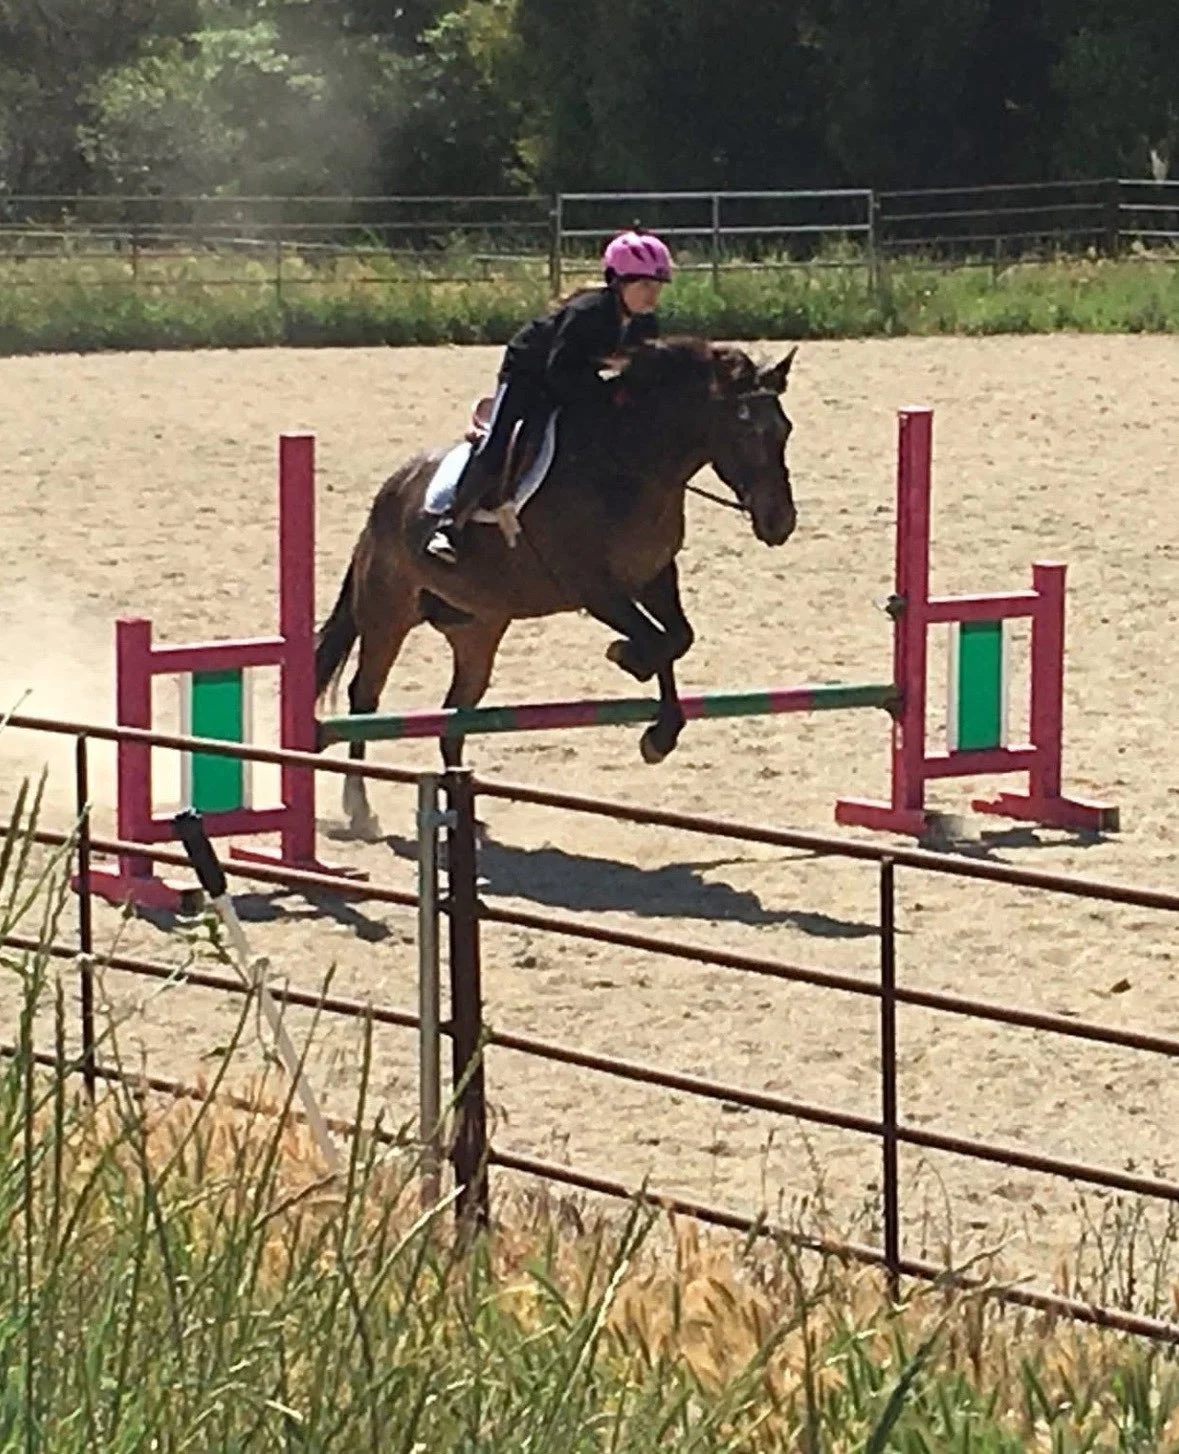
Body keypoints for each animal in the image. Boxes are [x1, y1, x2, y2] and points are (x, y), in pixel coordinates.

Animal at [314, 336, 799, 839]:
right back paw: (360, 809)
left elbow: (677, 639)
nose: (780, 522)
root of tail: (388, 494)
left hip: (477, 629)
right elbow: (656, 640)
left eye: (784, 430)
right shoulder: (597, 589)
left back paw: (462, 813)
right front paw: (629, 661)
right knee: (364, 698)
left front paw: (659, 733)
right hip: (387, 615)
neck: (633, 466)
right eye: (744, 431)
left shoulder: (653, 577)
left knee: (454, 710)